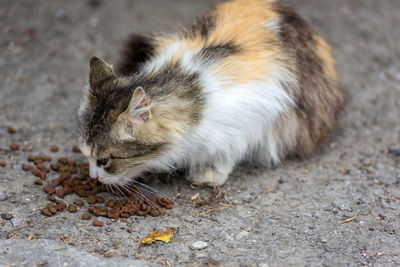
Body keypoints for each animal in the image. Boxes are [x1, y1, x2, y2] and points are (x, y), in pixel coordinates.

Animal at [76, 0, 346, 186]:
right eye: (84, 155)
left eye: (104, 160)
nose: (92, 177)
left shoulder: (255, 116)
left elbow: (229, 150)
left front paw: (209, 174)